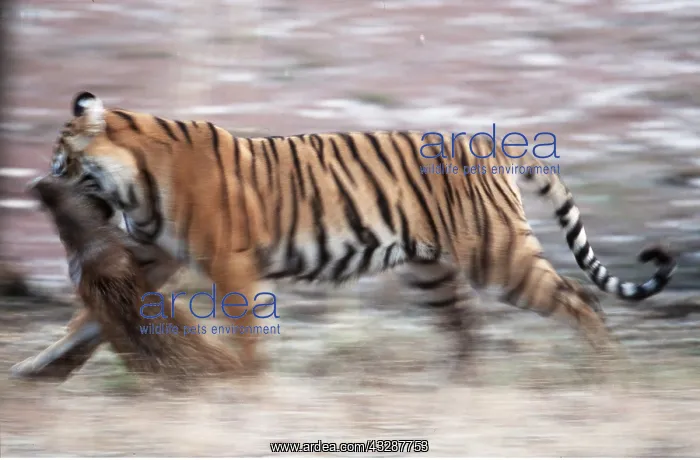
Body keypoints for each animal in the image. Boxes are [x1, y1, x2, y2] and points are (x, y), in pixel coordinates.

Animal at [12, 90, 677, 380]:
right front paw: (34, 367)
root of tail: (490, 145)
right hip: (434, 271)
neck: (137, 184)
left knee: (578, 298)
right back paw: (457, 390)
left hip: (498, 256)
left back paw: (613, 374)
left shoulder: (227, 262)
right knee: (468, 331)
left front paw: (247, 384)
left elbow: (245, 330)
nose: (41, 178)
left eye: (61, 155)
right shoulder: (153, 258)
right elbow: (84, 319)